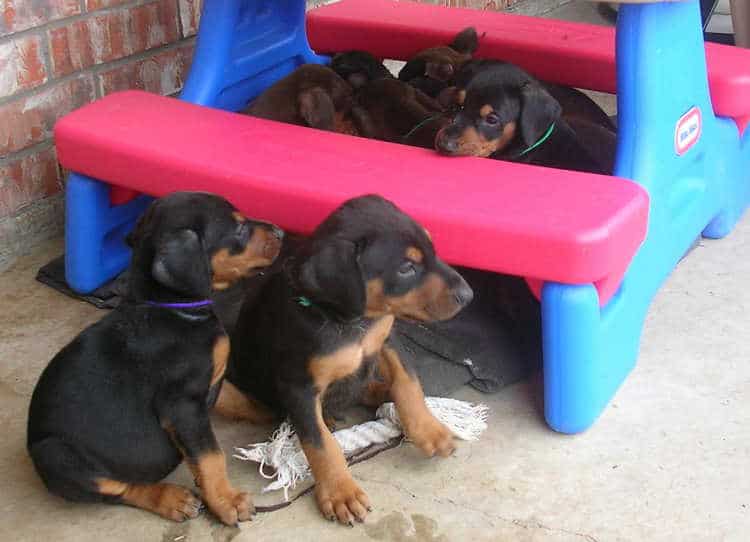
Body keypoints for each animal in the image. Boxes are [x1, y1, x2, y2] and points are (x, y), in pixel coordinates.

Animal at [27, 192, 284, 528]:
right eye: (238, 229)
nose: (281, 233)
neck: (170, 308)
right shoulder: (181, 404)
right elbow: (210, 456)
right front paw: (226, 501)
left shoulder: (207, 379)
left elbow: (237, 398)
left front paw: (270, 409)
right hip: (56, 455)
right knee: (118, 488)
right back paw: (169, 499)